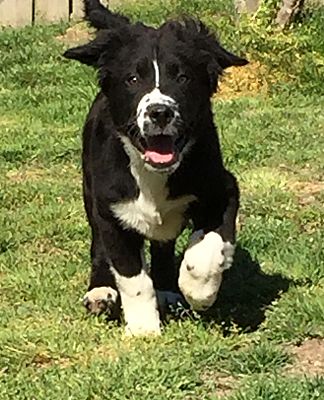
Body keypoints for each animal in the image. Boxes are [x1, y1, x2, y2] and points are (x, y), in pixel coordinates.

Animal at [64, 0, 248, 336]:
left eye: (183, 77)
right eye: (133, 79)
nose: (159, 112)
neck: (152, 174)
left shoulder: (223, 187)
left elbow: (211, 241)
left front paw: (198, 288)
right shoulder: (111, 209)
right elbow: (132, 276)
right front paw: (144, 330)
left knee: (163, 245)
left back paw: (169, 290)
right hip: (89, 193)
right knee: (99, 246)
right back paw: (100, 291)